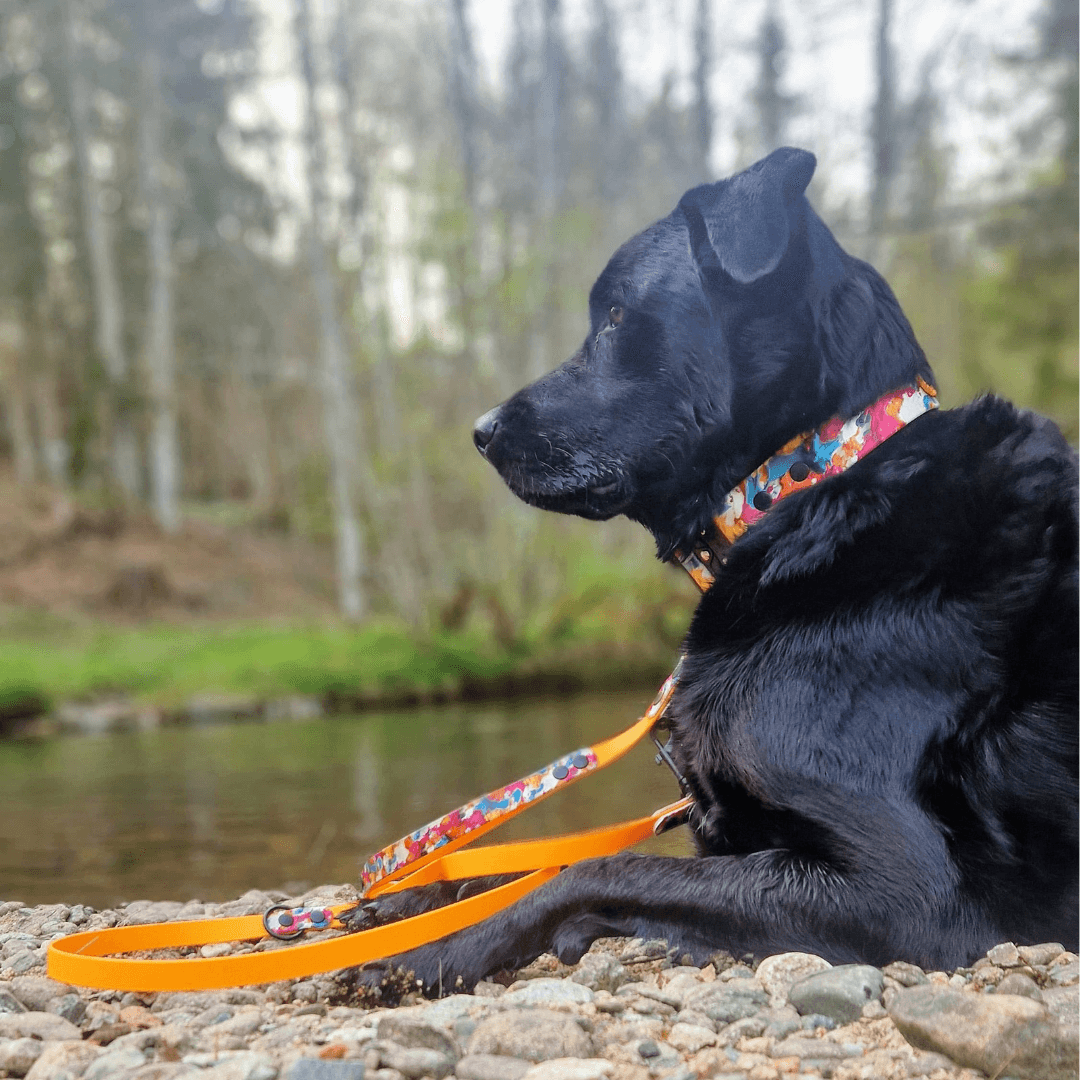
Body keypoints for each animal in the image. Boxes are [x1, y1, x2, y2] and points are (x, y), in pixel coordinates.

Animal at [352, 147, 1071, 989]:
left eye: (617, 316)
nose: (481, 431)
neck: (807, 495)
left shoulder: (908, 887)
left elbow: (596, 868)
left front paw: (437, 946)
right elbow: (552, 865)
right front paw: (402, 905)